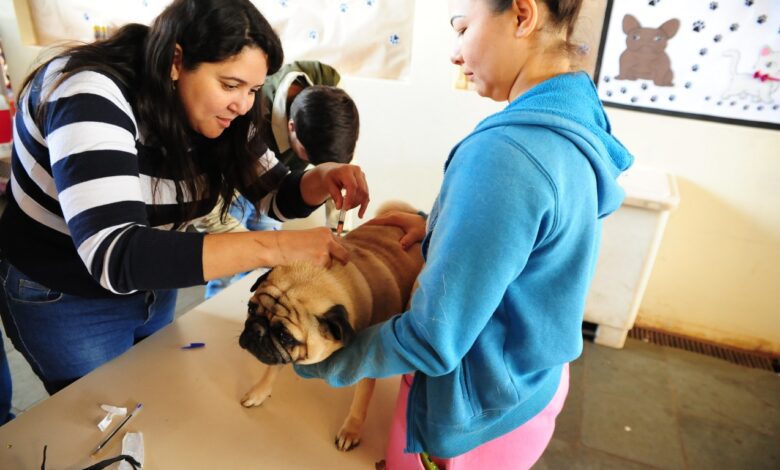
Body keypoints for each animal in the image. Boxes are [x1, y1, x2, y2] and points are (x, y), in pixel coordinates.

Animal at [238, 202, 424, 452]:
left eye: (285, 336)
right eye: (250, 309)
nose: (256, 330)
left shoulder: (367, 366)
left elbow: (360, 402)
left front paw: (350, 431)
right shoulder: (277, 354)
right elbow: (271, 369)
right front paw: (259, 393)